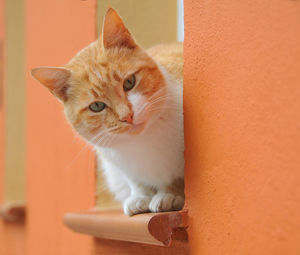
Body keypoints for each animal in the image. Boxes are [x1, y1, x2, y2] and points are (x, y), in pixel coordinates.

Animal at [31, 7, 184, 215]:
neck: (142, 142)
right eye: (97, 106)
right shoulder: (118, 164)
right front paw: (140, 197)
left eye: (129, 82)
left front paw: (170, 194)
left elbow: (179, 177)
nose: (127, 116)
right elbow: (136, 181)